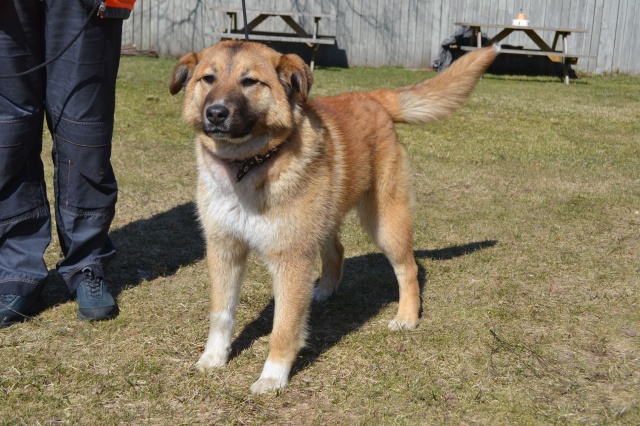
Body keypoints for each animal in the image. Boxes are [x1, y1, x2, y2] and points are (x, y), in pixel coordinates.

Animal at [170, 41, 498, 394]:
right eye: (208, 78)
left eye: (250, 81)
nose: (216, 113)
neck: (248, 165)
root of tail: (373, 97)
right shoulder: (223, 249)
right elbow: (221, 314)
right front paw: (213, 358)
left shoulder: (291, 260)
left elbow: (284, 327)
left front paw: (272, 376)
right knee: (337, 251)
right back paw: (324, 291)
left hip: (385, 223)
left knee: (407, 269)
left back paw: (407, 317)